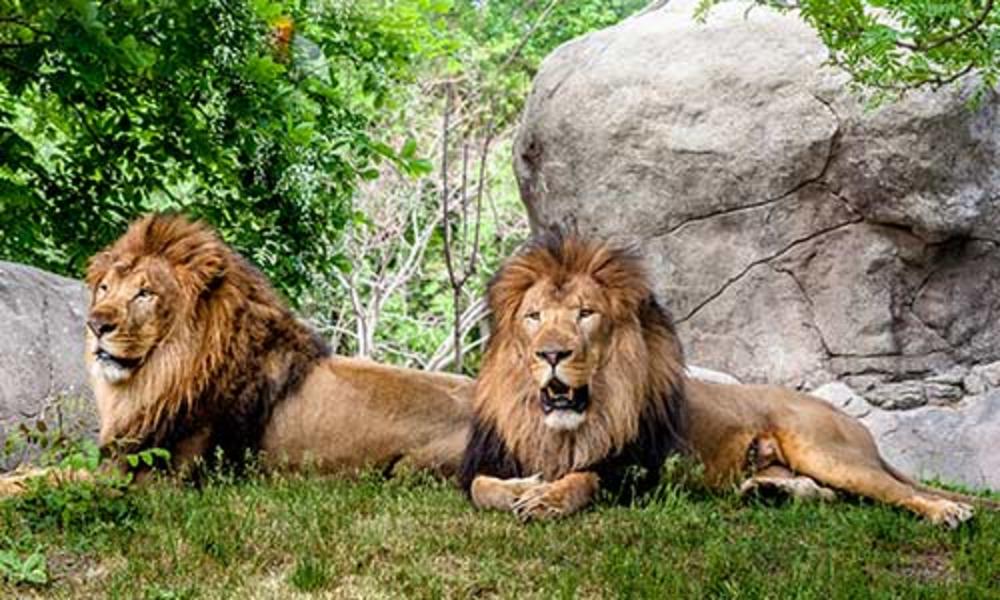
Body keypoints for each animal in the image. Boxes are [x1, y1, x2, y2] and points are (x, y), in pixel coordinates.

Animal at [0, 213, 472, 494]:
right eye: (104, 288)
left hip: (407, 473)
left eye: (145, 293)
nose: (96, 324)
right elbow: (37, 473)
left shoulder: (155, 479)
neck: (160, 375)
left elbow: (51, 480)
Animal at [464, 237, 996, 528]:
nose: (551, 354)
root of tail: (849, 419)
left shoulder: (640, 473)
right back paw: (771, 493)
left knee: (892, 490)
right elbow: (481, 487)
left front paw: (546, 497)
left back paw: (947, 512)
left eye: (584, 314)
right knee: (832, 495)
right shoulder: (488, 460)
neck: (565, 429)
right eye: (535, 317)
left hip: (828, 451)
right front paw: (525, 486)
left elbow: (586, 478)